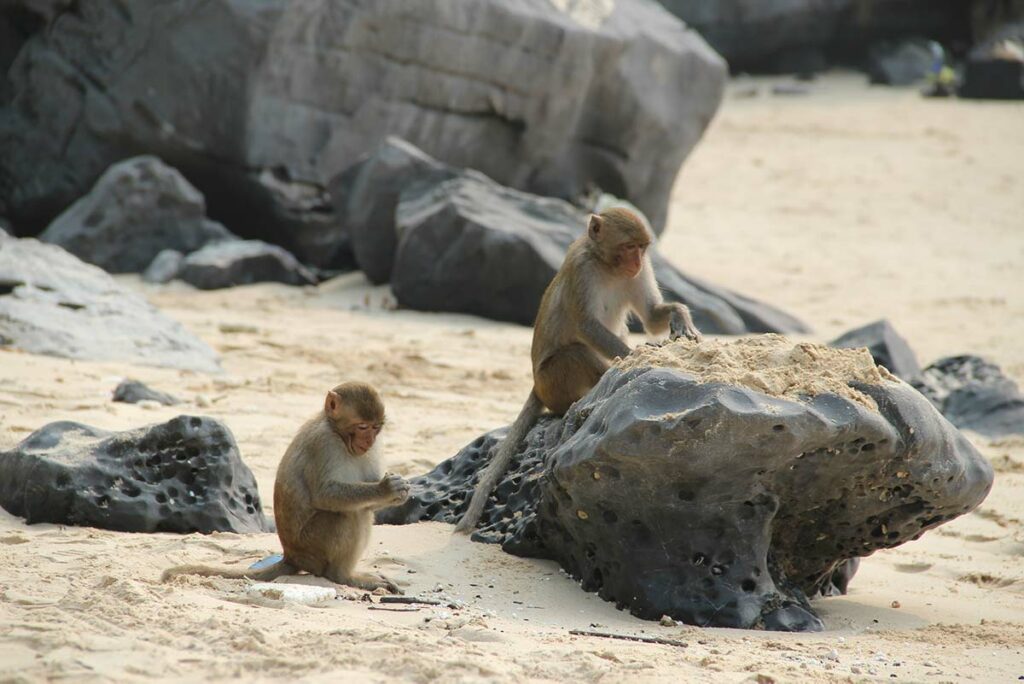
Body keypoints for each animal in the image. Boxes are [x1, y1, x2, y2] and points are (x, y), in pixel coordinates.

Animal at [161, 382, 409, 589]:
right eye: (362, 426)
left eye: (376, 428)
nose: (368, 441)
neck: (336, 432)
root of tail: (291, 556)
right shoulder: (323, 443)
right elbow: (325, 495)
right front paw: (386, 488)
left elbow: (368, 503)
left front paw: (398, 492)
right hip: (312, 546)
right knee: (348, 515)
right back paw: (343, 576)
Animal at [456, 208, 704, 532]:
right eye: (628, 247)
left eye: (641, 249)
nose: (636, 263)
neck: (606, 265)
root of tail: (537, 386)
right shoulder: (581, 268)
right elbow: (586, 326)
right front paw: (638, 356)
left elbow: (651, 317)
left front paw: (681, 318)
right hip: (552, 382)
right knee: (574, 353)